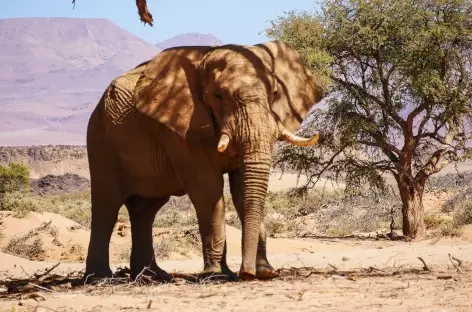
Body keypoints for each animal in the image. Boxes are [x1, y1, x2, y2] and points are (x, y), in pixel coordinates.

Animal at [85, 40, 324, 282]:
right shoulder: (182, 128)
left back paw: (153, 276)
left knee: (146, 210)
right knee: (107, 205)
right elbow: (208, 190)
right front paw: (217, 275)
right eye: (218, 97)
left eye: (275, 93)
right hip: (100, 139)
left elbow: (241, 189)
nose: (246, 274)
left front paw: (266, 271)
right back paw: (100, 278)